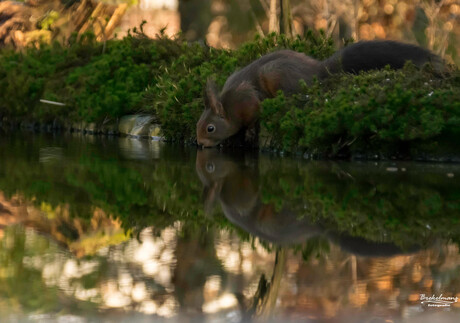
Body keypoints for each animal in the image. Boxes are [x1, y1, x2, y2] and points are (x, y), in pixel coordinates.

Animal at [196, 39, 444, 147]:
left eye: (210, 128)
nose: (199, 143)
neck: (228, 106)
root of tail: (317, 69)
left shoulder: (247, 100)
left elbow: (253, 115)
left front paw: (248, 132)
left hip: (276, 75)